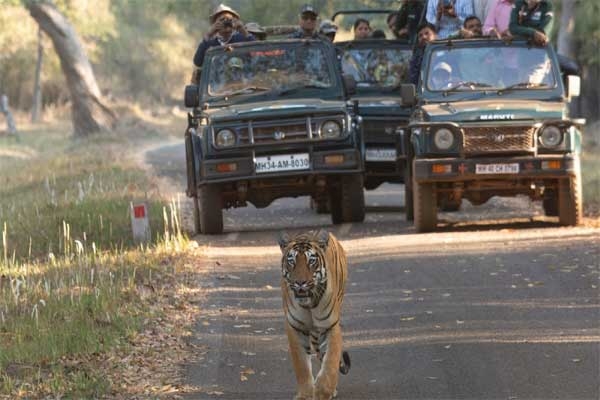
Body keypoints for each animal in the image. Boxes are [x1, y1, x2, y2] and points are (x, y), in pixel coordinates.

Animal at [278, 230, 352, 400]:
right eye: (291, 261)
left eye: (311, 261)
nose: (300, 283)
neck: (309, 304)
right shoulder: (295, 328)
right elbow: (301, 365)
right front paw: (306, 394)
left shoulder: (330, 326)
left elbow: (331, 360)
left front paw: (323, 391)